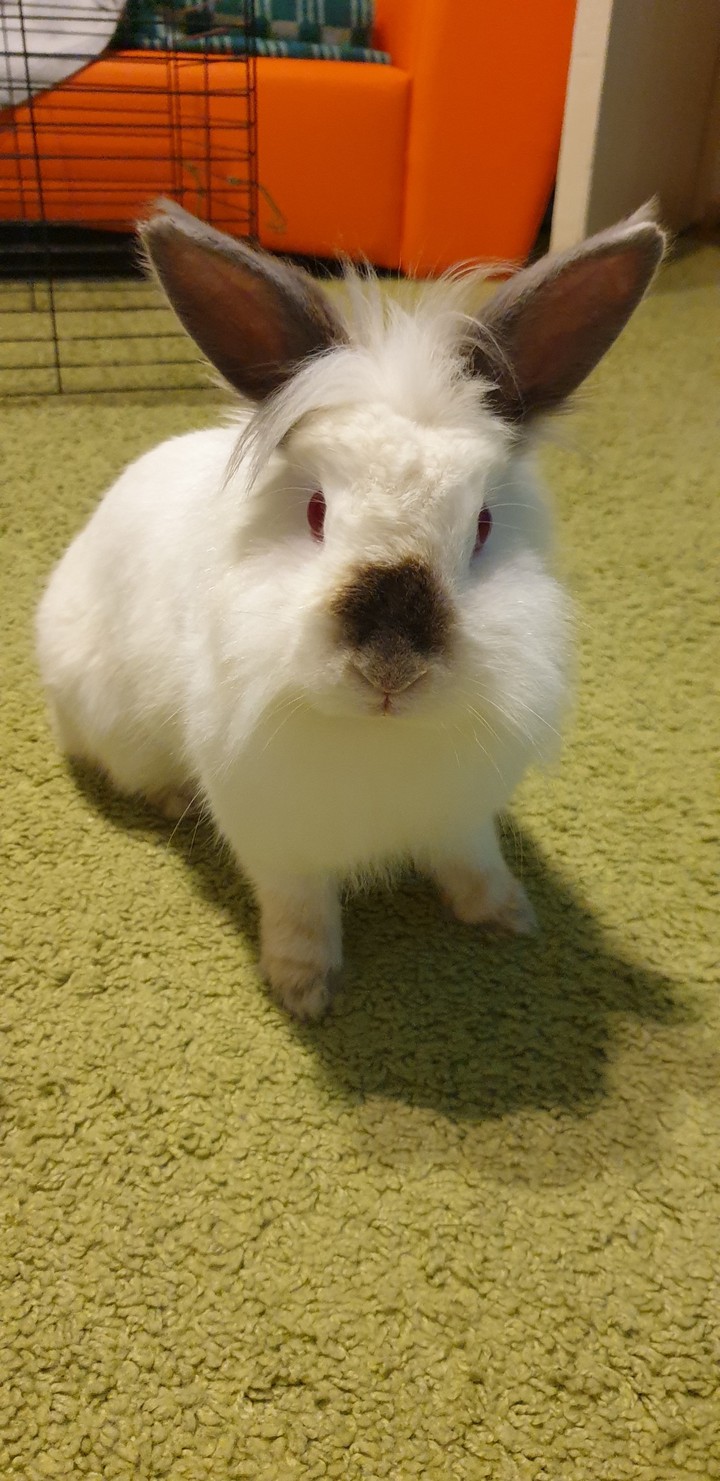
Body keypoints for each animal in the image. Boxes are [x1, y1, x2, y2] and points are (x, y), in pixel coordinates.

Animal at [36, 200, 665, 1019]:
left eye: (483, 526)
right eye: (315, 512)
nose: (389, 669)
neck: (379, 738)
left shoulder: (462, 813)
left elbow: (473, 861)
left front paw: (507, 915)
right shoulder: (276, 839)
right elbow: (300, 909)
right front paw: (304, 989)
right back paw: (173, 799)